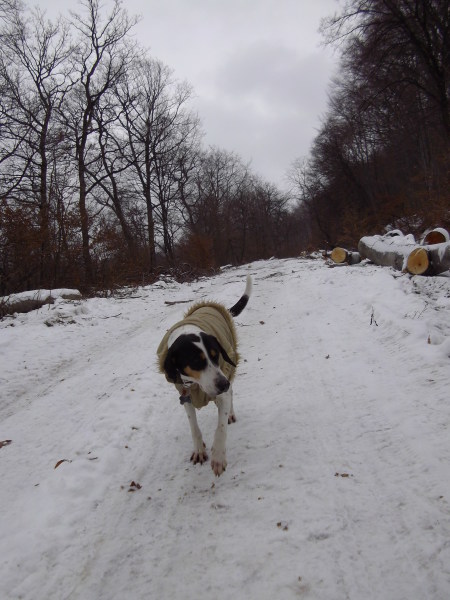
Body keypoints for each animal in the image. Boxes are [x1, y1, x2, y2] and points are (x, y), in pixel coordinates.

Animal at [157, 275, 252, 476]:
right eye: (195, 361)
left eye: (216, 356)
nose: (223, 384)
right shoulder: (186, 396)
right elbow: (194, 427)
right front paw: (199, 449)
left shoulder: (223, 383)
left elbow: (220, 428)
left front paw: (218, 457)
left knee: (231, 395)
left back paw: (230, 412)